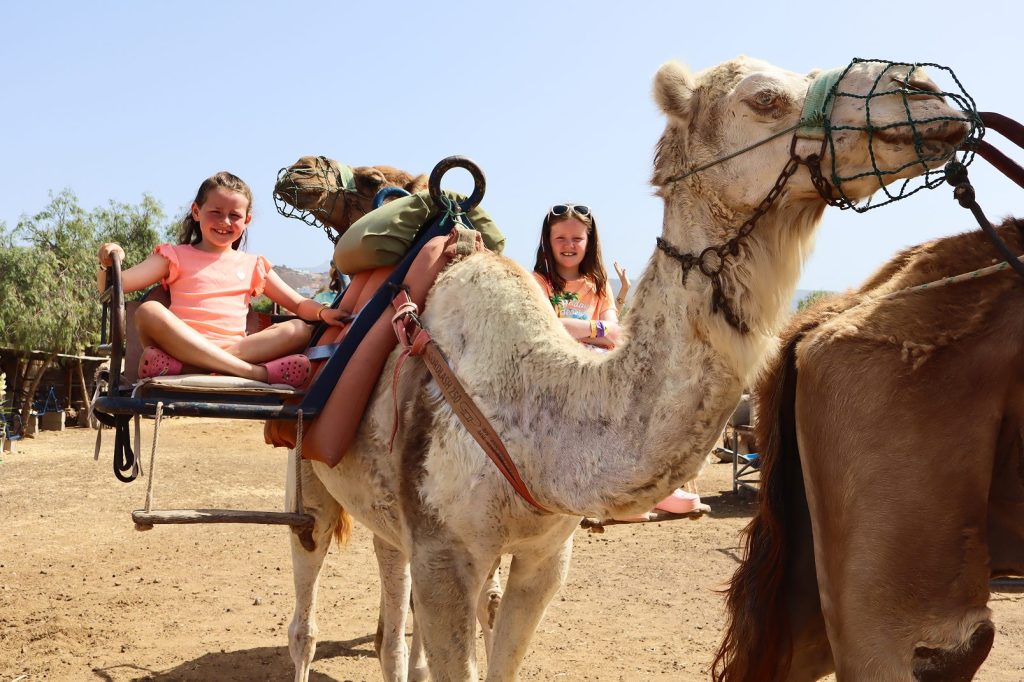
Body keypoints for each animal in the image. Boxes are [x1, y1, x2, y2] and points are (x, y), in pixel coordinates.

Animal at [285, 56, 972, 681]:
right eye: (766, 99)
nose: (925, 90)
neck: (535, 416)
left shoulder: (544, 557)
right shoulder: (444, 554)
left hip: (388, 510)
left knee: (390, 612)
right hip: (308, 467)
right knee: (307, 599)